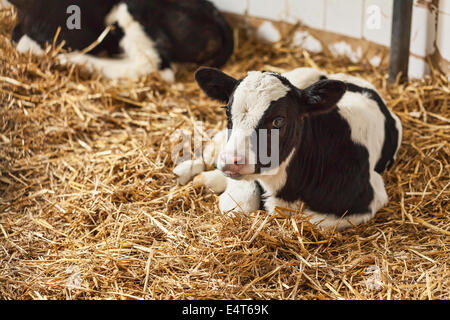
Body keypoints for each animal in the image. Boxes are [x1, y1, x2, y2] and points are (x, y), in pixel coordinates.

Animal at [174, 67, 402, 230]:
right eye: (228, 113)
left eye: (278, 120)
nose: (231, 161)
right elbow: (240, 204)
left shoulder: (371, 196)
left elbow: (308, 220)